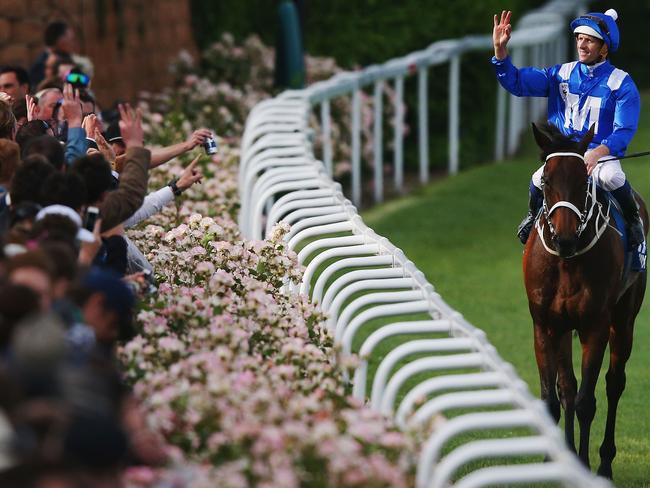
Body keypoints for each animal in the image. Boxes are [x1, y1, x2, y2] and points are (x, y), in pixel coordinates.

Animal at [524, 121, 644, 476]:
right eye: (546, 181)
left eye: (583, 180)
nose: (563, 238)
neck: (567, 260)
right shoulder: (545, 325)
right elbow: (555, 397)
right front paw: (552, 461)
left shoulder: (595, 327)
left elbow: (586, 402)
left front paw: (584, 462)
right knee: (567, 388)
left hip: (624, 320)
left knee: (614, 383)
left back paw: (604, 462)